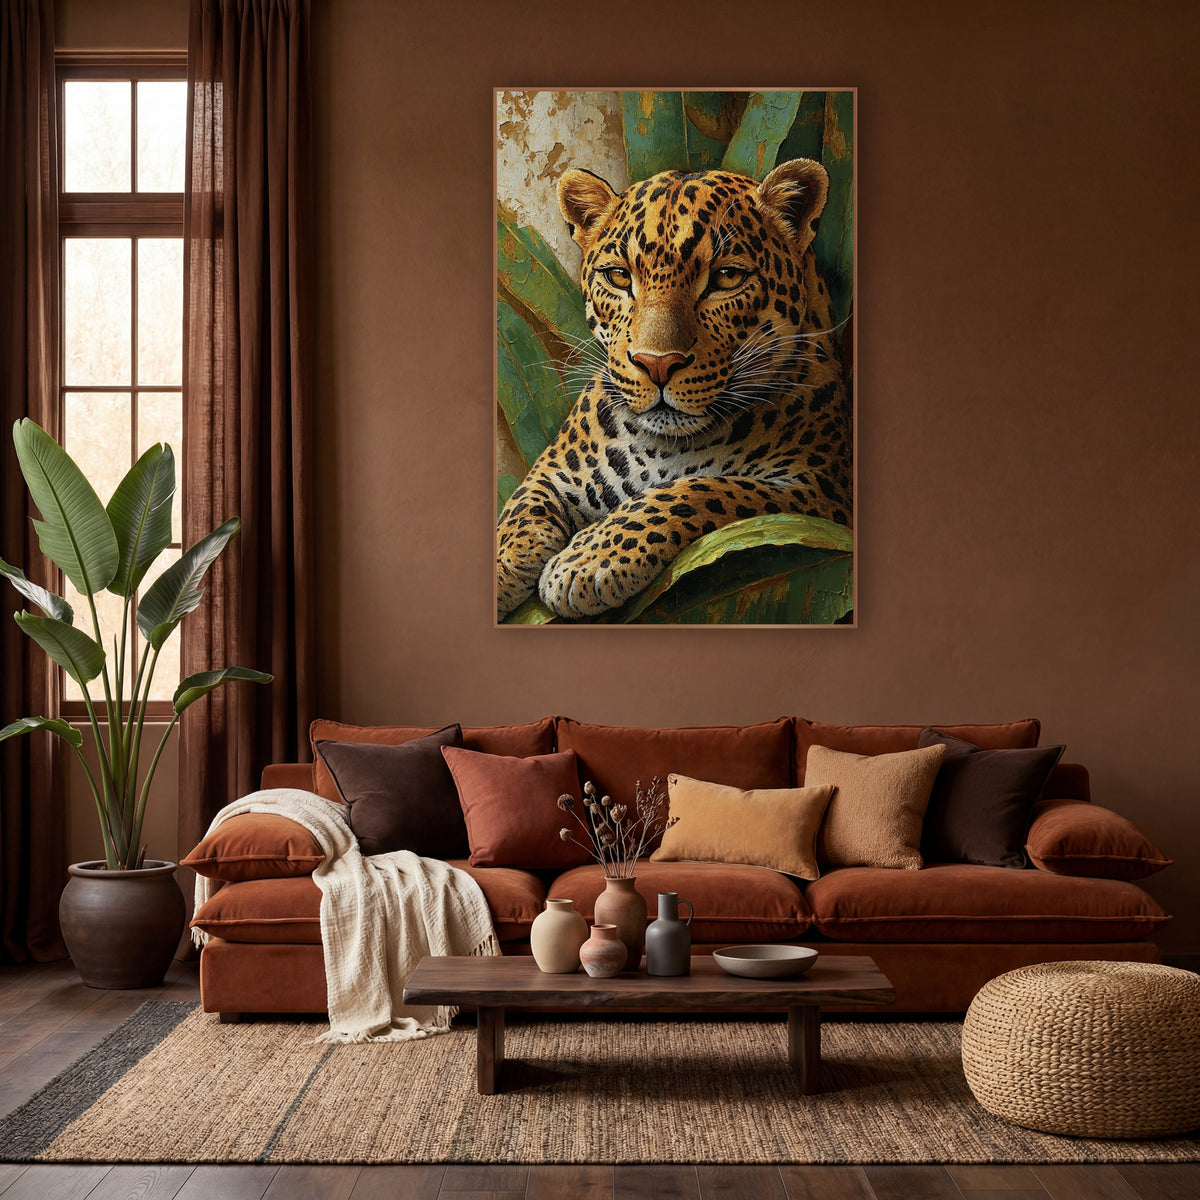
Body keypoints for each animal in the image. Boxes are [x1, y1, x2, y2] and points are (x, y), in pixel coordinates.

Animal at [496, 156, 852, 621]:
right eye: (618, 276)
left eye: (726, 277)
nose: (657, 364)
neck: (664, 446)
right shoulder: (554, 472)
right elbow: (518, 512)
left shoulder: (822, 489)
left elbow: (705, 489)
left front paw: (587, 560)